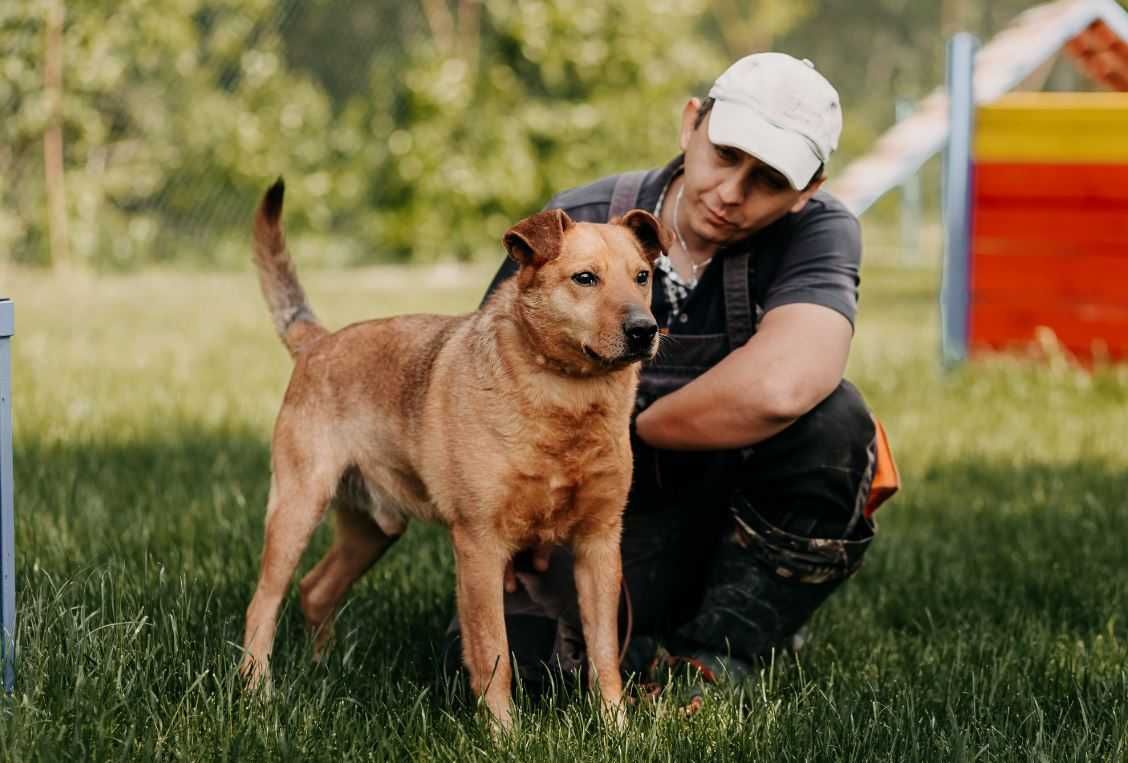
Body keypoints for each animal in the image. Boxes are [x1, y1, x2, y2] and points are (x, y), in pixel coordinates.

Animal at [240, 178, 667, 726]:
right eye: (585, 278)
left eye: (642, 277)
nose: (645, 330)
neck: (564, 400)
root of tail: (318, 342)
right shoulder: (480, 545)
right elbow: (493, 653)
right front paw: (504, 732)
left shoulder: (599, 544)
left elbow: (604, 655)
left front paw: (616, 729)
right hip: (296, 509)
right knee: (263, 603)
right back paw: (257, 692)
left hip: (373, 530)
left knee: (316, 590)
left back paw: (323, 668)